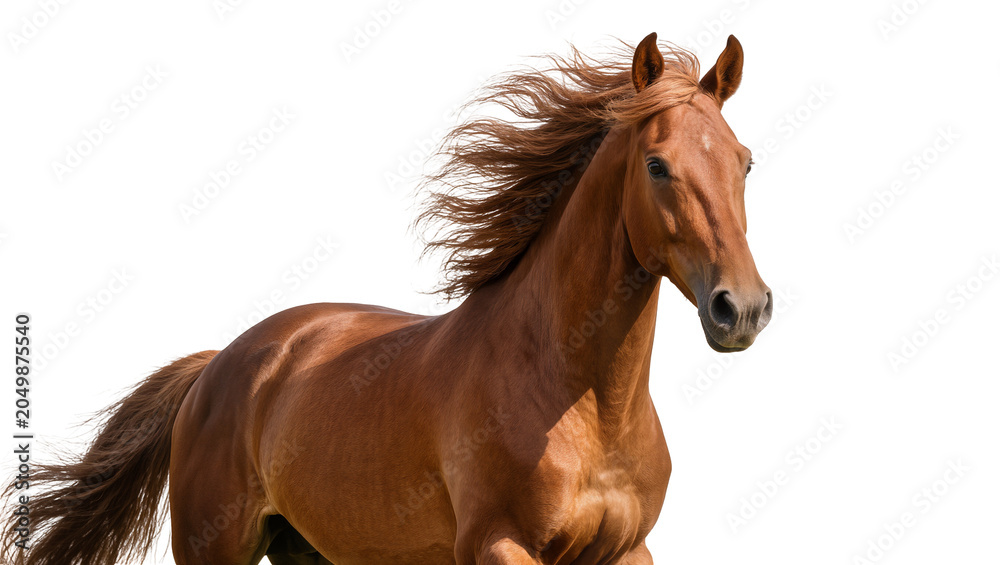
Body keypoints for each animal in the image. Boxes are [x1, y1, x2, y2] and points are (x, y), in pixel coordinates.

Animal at [4, 32, 772, 564]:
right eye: (658, 165)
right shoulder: (497, 543)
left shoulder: (627, 549)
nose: (742, 308)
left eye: (744, 162)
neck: (580, 401)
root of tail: (217, 367)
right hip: (210, 548)